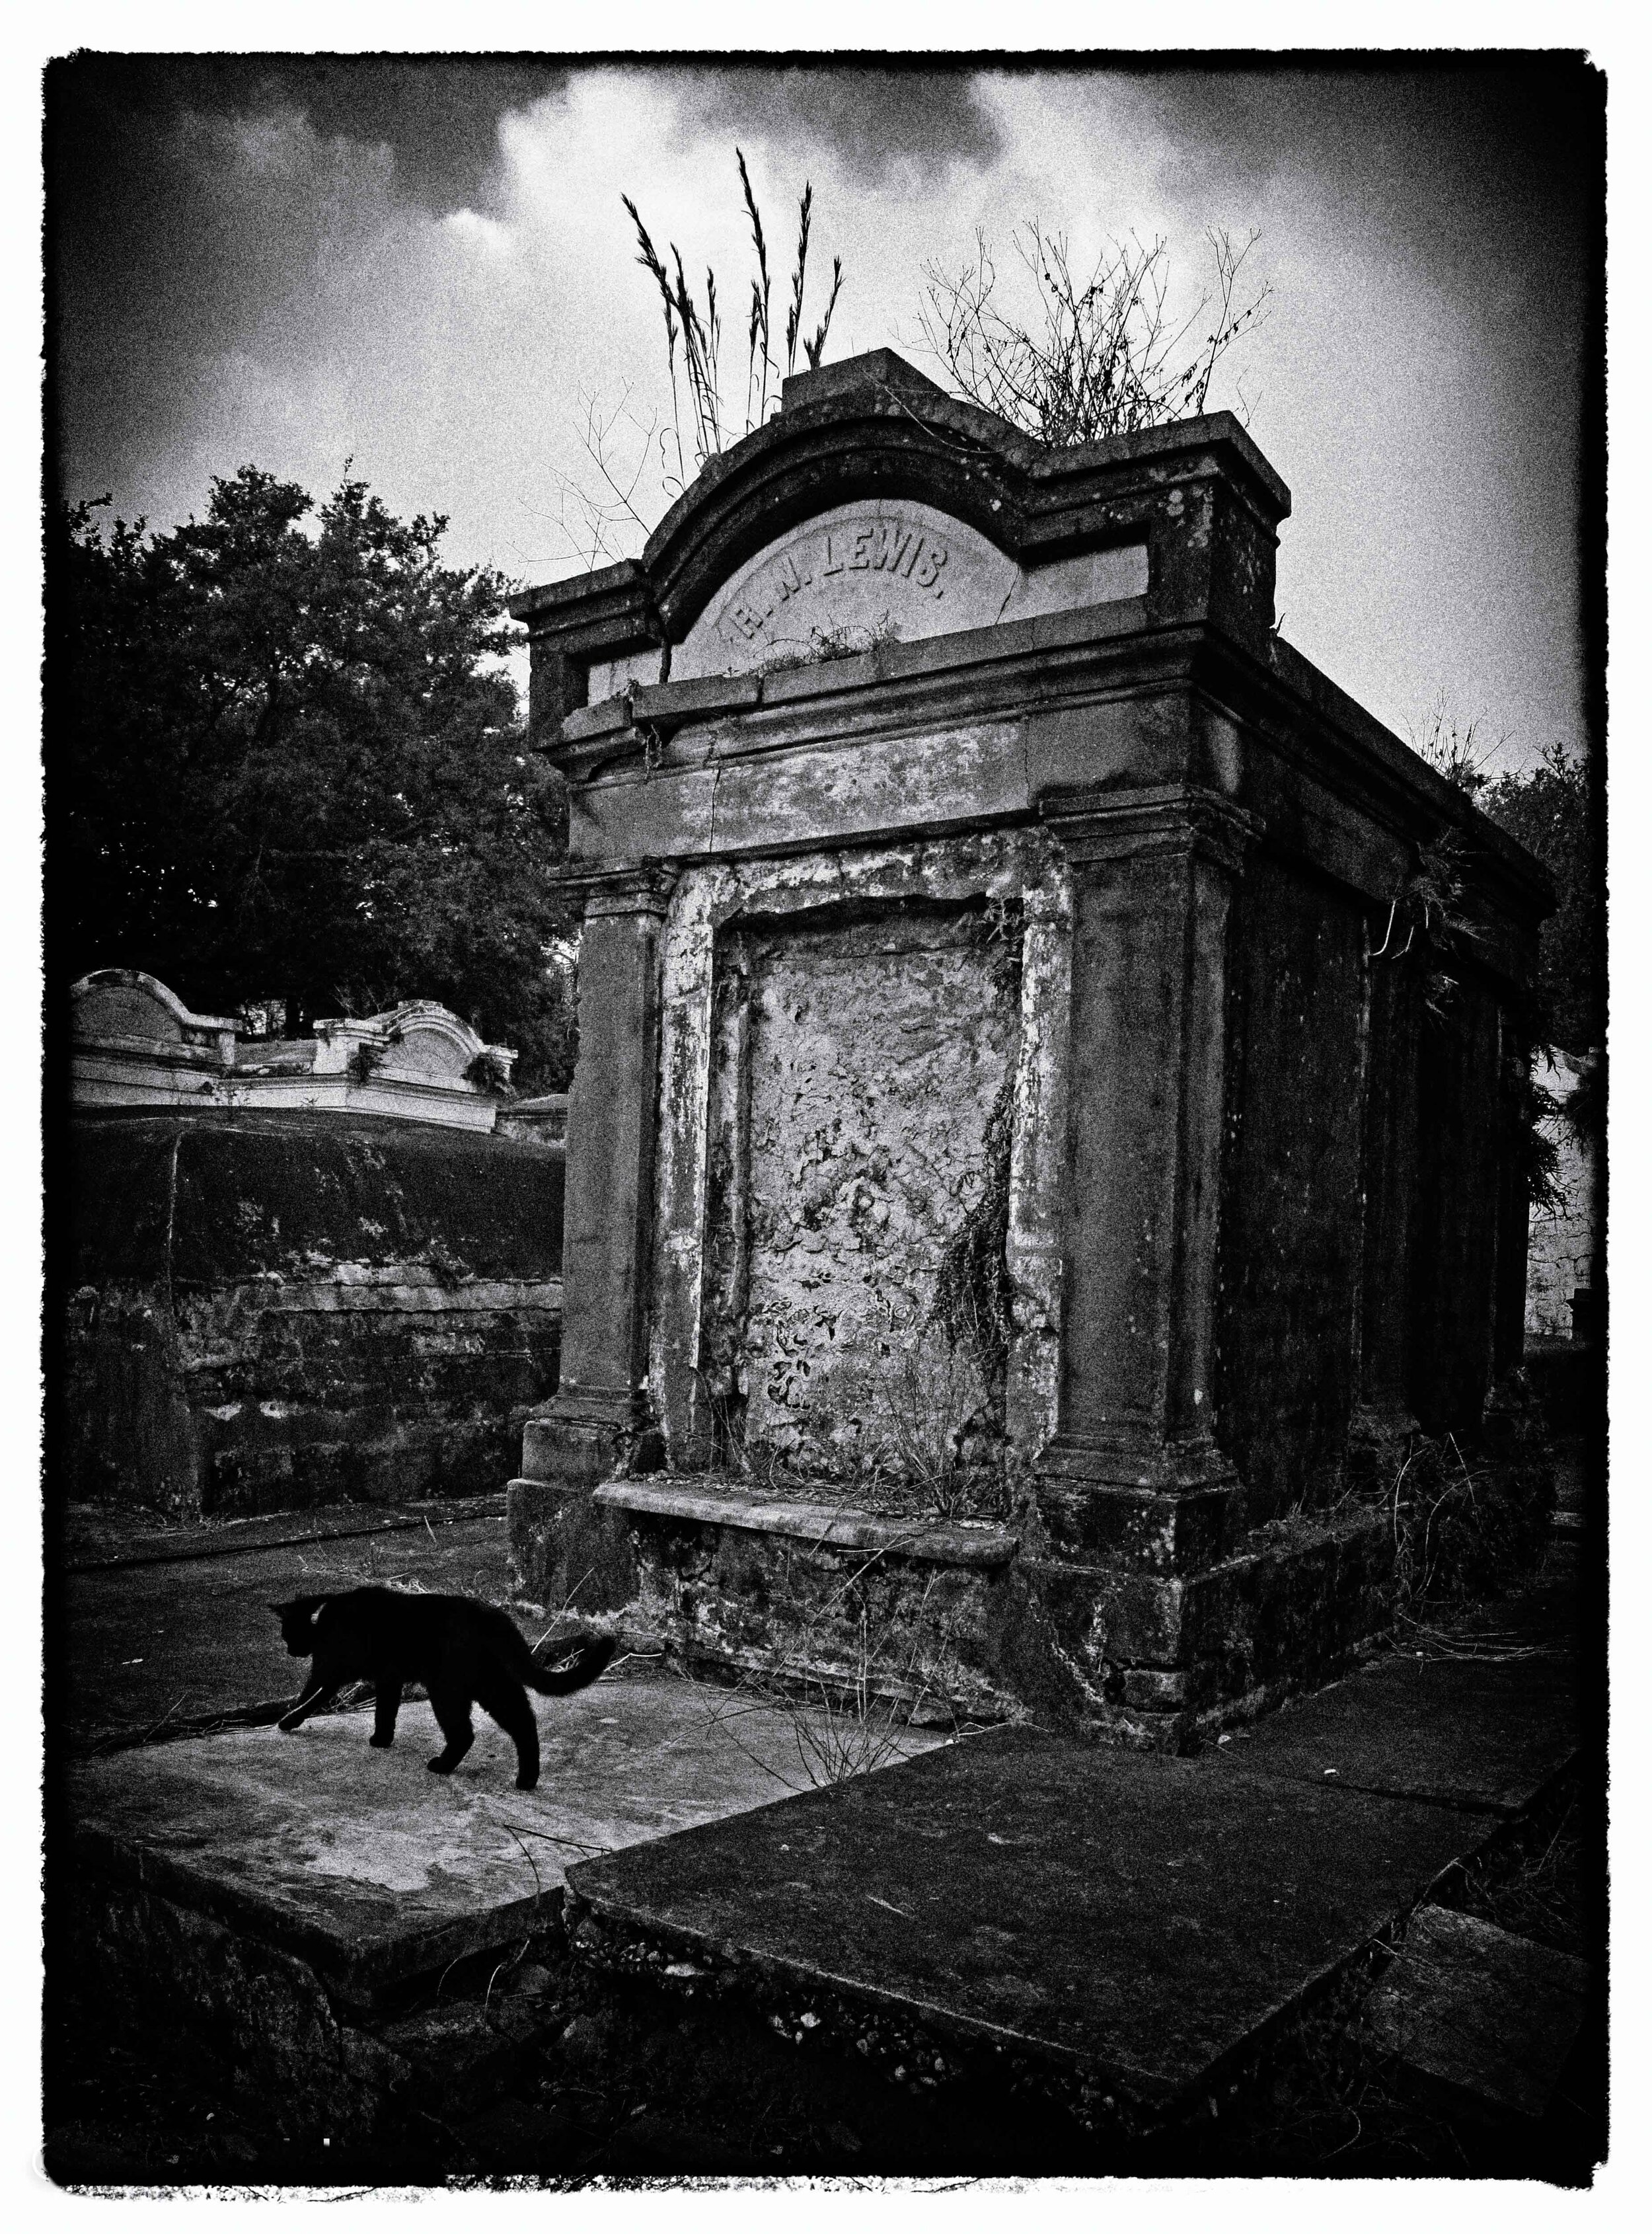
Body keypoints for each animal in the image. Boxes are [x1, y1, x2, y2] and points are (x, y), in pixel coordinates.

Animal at [271, 1590, 620, 1796]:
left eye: (290, 1634)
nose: (290, 1650)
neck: (327, 1620)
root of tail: (493, 1616)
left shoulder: (336, 1671)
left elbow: (312, 1697)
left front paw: (289, 1720)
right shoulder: (388, 1677)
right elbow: (386, 1710)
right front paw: (382, 1739)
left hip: (448, 1689)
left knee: (465, 1732)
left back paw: (443, 1766)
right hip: (492, 1686)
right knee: (524, 1723)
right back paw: (526, 1780)